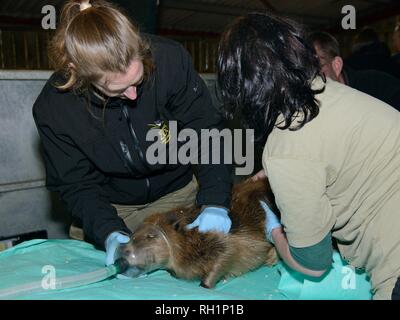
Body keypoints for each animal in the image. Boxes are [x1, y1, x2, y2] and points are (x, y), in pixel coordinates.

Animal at [115, 178, 278, 288]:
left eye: (150, 236)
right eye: (132, 236)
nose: (124, 254)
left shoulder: (227, 239)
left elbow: (227, 254)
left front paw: (205, 284)